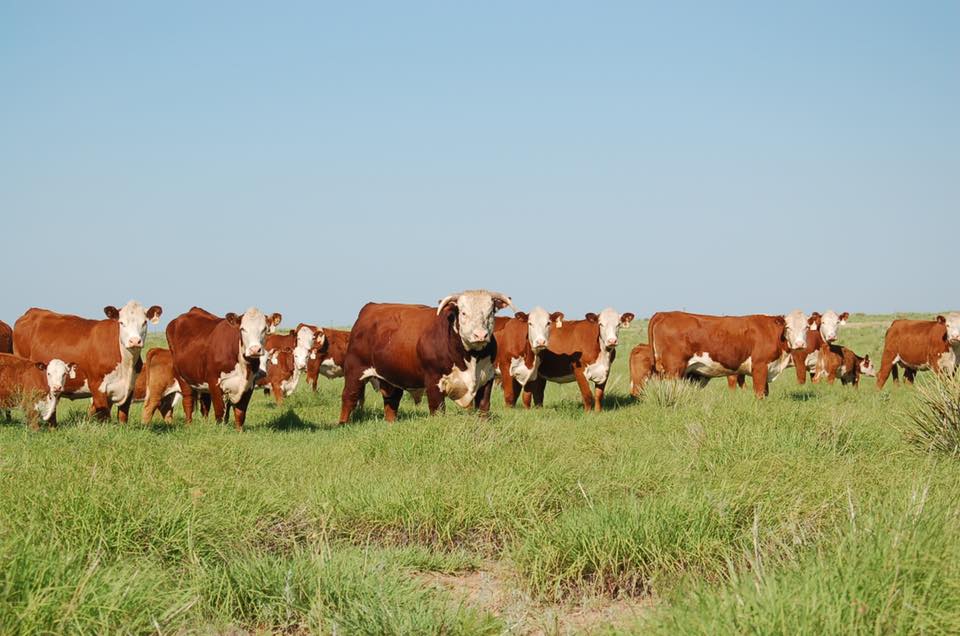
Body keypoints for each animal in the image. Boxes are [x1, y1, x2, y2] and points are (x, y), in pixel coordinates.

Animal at [13, 302, 163, 423]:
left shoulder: (129, 386)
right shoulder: (97, 386)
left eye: (144, 322)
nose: (135, 341)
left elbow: (123, 417)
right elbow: (104, 417)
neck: (126, 364)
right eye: (121, 323)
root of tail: (32, 312)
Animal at [338, 290, 511, 423]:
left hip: (392, 377)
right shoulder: (434, 381)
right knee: (349, 397)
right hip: (355, 369)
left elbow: (483, 408)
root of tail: (371, 306)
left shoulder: (487, 379)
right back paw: (343, 424)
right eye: (463, 312)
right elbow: (438, 410)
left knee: (391, 401)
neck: (471, 358)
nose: (480, 335)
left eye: (491, 312)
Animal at [649, 311, 812, 398]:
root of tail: (664, 314)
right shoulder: (760, 366)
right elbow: (759, 393)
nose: (800, 344)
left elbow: (765, 392)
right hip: (673, 370)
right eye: (788, 327)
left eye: (806, 327)